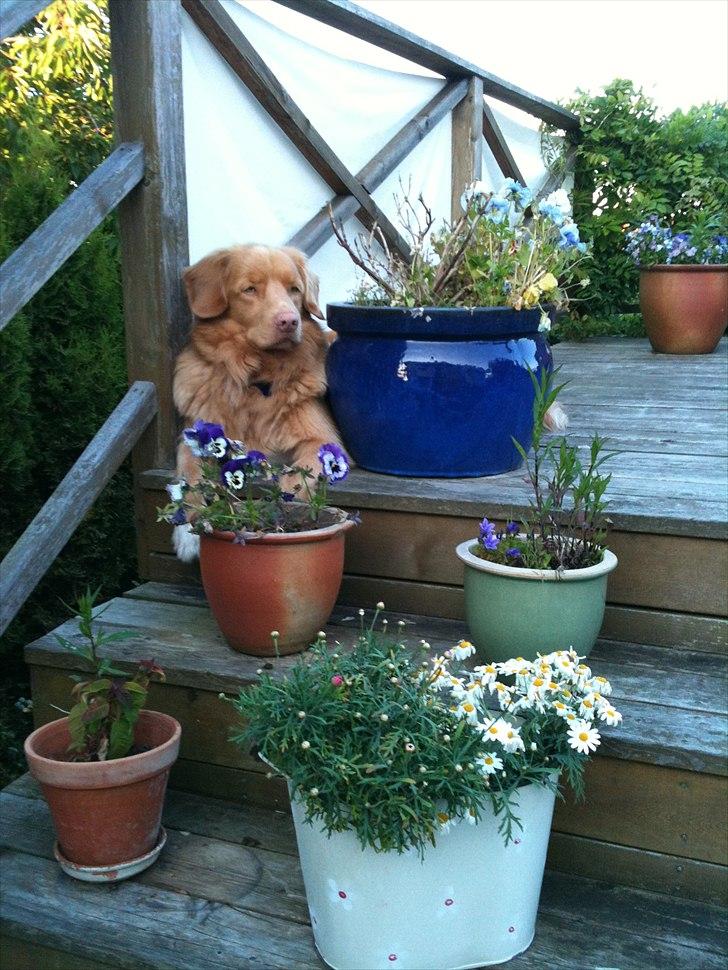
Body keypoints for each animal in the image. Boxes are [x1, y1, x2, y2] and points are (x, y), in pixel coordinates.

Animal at [172, 242, 342, 560]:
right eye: (250, 289)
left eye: (294, 289)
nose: (289, 321)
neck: (257, 375)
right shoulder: (194, 438)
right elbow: (188, 475)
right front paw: (187, 530)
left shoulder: (323, 440)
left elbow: (294, 479)